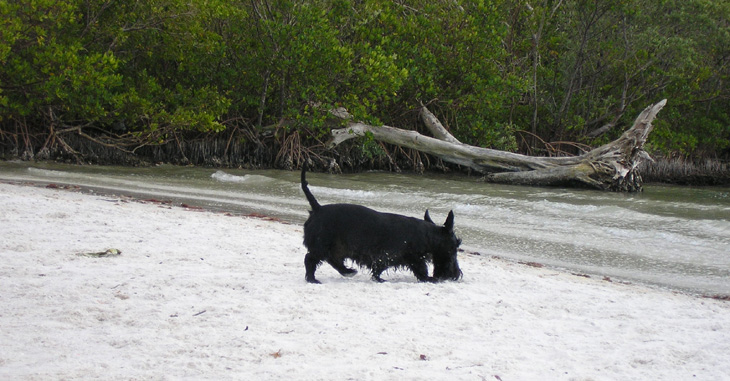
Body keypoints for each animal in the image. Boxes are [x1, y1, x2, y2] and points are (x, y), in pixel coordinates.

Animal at [300, 165, 460, 284]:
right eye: (455, 247)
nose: (456, 275)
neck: (428, 235)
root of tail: (318, 208)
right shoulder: (408, 257)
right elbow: (420, 270)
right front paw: (431, 279)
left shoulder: (388, 257)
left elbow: (379, 269)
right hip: (321, 246)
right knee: (310, 259)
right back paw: (313, 279)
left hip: (336, 248)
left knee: (333, 260)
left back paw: (347, 271)